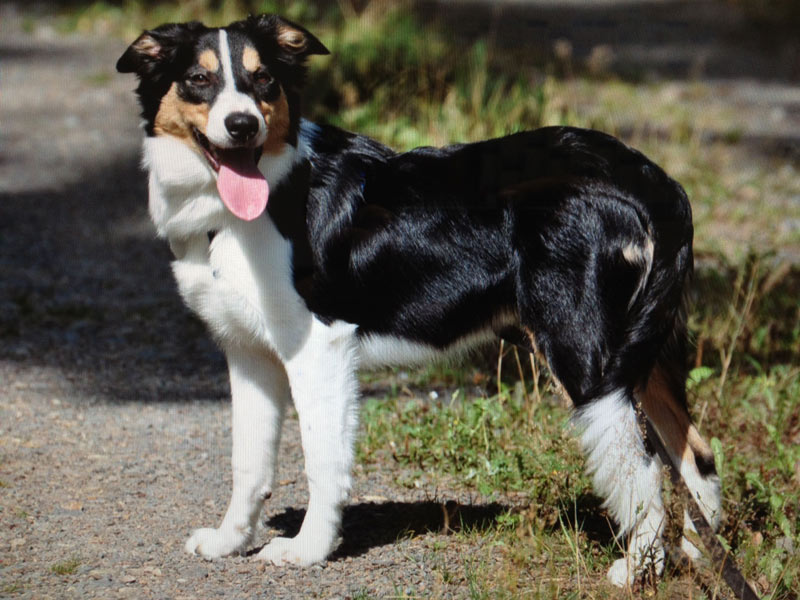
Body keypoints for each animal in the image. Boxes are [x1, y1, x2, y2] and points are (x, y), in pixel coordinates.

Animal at [119, 14, 724, 584]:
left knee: (643, 466)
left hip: (586, 357)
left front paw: (307, 550)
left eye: (263, 77)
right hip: (644, 352)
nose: (242, 125)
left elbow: (322, 460)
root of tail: (653, 181)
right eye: (199, 79)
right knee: (696, 454)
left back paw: (640, 570)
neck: (247, 204)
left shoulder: (317, 348)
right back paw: (702, 556)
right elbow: (248, 462)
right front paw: (229, 542)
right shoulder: (249, 356)